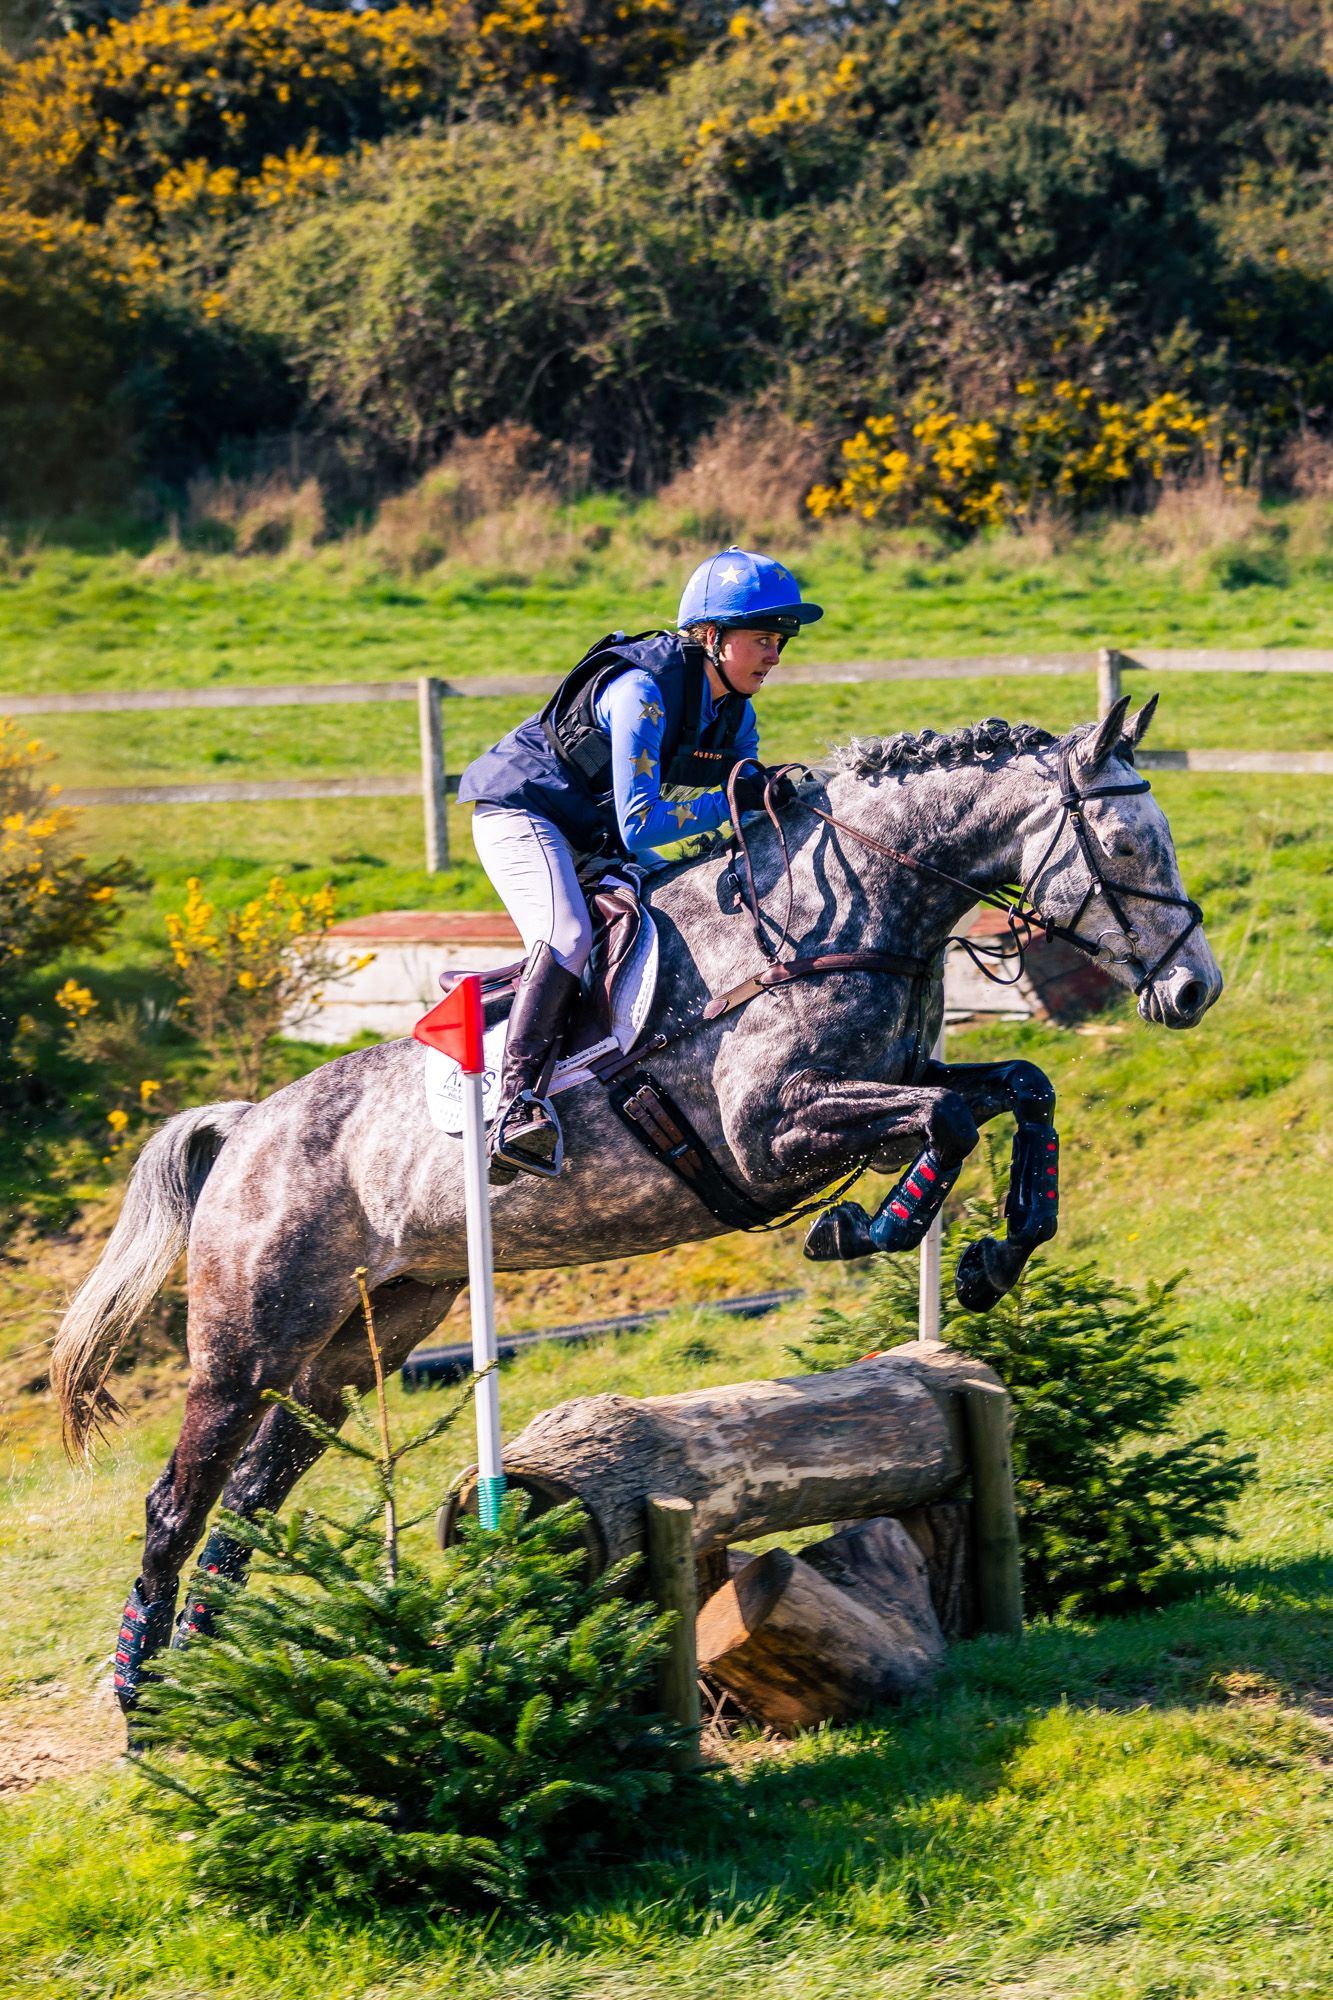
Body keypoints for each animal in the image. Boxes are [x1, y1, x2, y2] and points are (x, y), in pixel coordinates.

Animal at [51, 696, 1222, 1707]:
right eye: (1125, 848)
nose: (1193, 989)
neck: (832, 915)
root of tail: (247, 1124)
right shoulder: (770, 1132)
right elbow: (946, 1121)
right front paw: (867, 1228)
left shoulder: (892, 1084)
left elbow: (1017, 1088)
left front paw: (988, 1259)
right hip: (249, 1339)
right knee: (179, 1500)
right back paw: (144, 1695)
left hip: (359, 1340)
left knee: (253, 1495)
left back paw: (214, 1679)